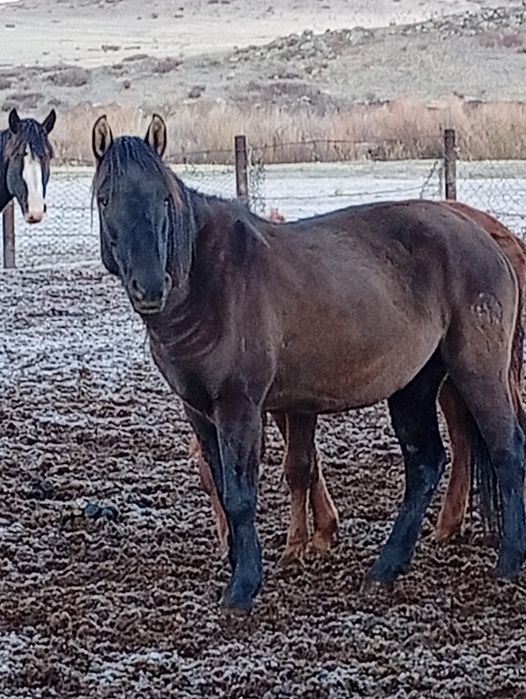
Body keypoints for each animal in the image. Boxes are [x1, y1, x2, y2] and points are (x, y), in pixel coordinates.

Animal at [190, 202, 526, 555]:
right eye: (205, 487)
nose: (228, 546)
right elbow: (309, 463)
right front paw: (323, 530)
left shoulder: (297, 406)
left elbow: (298, 465)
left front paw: (298, 544)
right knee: (463, 441)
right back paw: (448, 524)